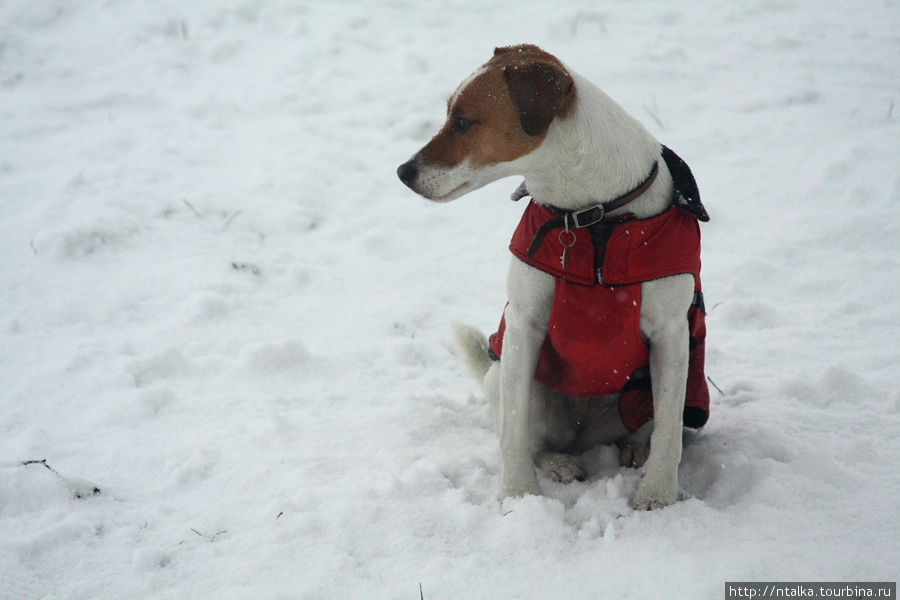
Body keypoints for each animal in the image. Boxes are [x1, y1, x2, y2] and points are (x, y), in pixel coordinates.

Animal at [396, 44, 712, 508]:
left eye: (463, 121)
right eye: (449, 114)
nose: (403, 172)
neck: (591, 215)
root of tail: (586, 434)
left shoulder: (671, 334)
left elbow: (671, 430)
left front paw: (657, 494)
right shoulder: (523, 325)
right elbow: (513, 431)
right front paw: (517, 495)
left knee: (649, 428)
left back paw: (636, 449)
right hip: (511, 379)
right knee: (533, 441)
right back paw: (560, 463)